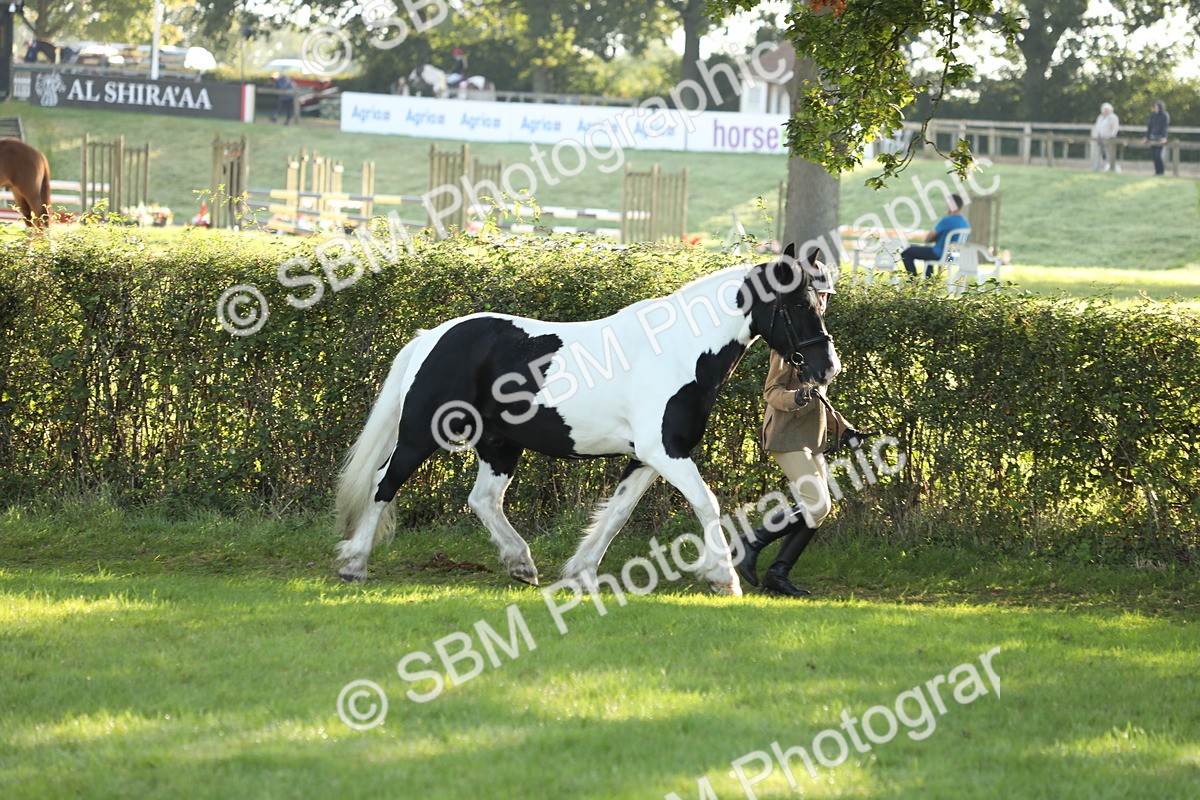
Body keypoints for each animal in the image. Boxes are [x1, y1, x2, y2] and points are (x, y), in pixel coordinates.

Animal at [334, 246, 840, 595]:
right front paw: (724, 578)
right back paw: (354, 563)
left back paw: (521, 564)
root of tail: (431, 336)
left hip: (500, 444)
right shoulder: (666, 452)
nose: (827, 368)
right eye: (797, 305)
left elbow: (617, 513)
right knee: (384, 482)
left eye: (820, 302)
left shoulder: (649, 458)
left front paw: (582, 573)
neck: (679, 351)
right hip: (421, 435)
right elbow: (707, 503)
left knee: (483, 500)